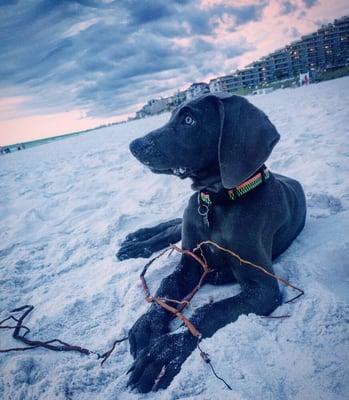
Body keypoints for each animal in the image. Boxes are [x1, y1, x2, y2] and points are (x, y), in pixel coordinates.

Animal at [119, 94, 304, 394]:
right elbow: (166, 286)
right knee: (170, 227)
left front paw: (163, 353)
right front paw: (147, 323)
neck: (217, 202)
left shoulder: (264, 287)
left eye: (189, 120)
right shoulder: (189, 263)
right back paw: (136, 242)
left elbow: (210, 311)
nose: (134, 145)